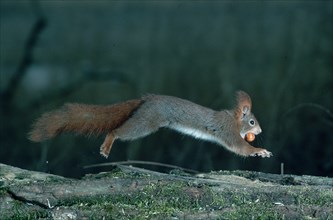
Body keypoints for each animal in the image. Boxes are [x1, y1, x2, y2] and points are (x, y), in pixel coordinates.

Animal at [28, 90, 272, 158]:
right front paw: (260, 151)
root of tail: (146, 100)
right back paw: (107, 146)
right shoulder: (228, 132)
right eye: (252, 121)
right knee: (116, 131)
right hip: (146, 123)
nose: (260, 130)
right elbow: (240, 148)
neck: (234, 120)